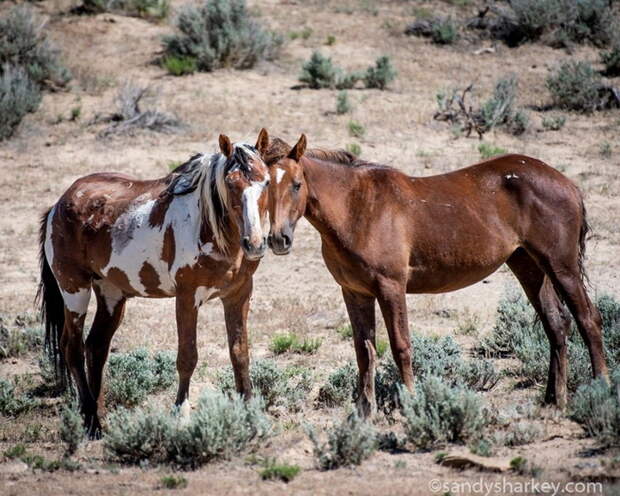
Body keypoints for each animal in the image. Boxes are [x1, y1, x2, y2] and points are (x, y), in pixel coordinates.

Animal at [38, 130, 272, 436]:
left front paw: (249, 414)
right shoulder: (187, 298)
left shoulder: (238, 294)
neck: (208, 227)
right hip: (74, 290)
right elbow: (187, 357)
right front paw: (181, 413)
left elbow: (240, 354)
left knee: (96, 347)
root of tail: (59, 204)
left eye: (266, 181)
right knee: (72, 347)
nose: (254, 243)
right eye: (231, 184)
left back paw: (100, 416)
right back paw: (91, 421)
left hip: (112, 295)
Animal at [264, 134, 608, 416]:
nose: (279, 239)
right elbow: (364, 351)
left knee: (588, 319)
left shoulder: (391, 287)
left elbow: (401, 346)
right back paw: (554, 400)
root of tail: (568, 184)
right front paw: (365, 412)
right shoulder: (355, 292)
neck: (358, 208)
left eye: (296, 184)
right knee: (556, 324)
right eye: (266, 185)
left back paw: (599, 391)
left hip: (561, 266)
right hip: (529, 266)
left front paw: (410, 405)